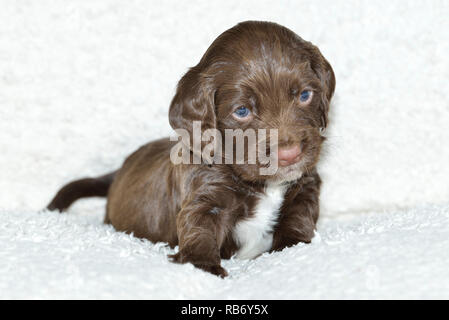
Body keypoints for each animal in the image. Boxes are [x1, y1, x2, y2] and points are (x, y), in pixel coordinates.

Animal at [48, 21, 332, 276]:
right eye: (242, 111)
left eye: (305, 95)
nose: (290, 155)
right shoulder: (204, 194)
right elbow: (199, 227)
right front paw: (201, 265)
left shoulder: (305, 184)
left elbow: (299, 215)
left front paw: (294, 247)